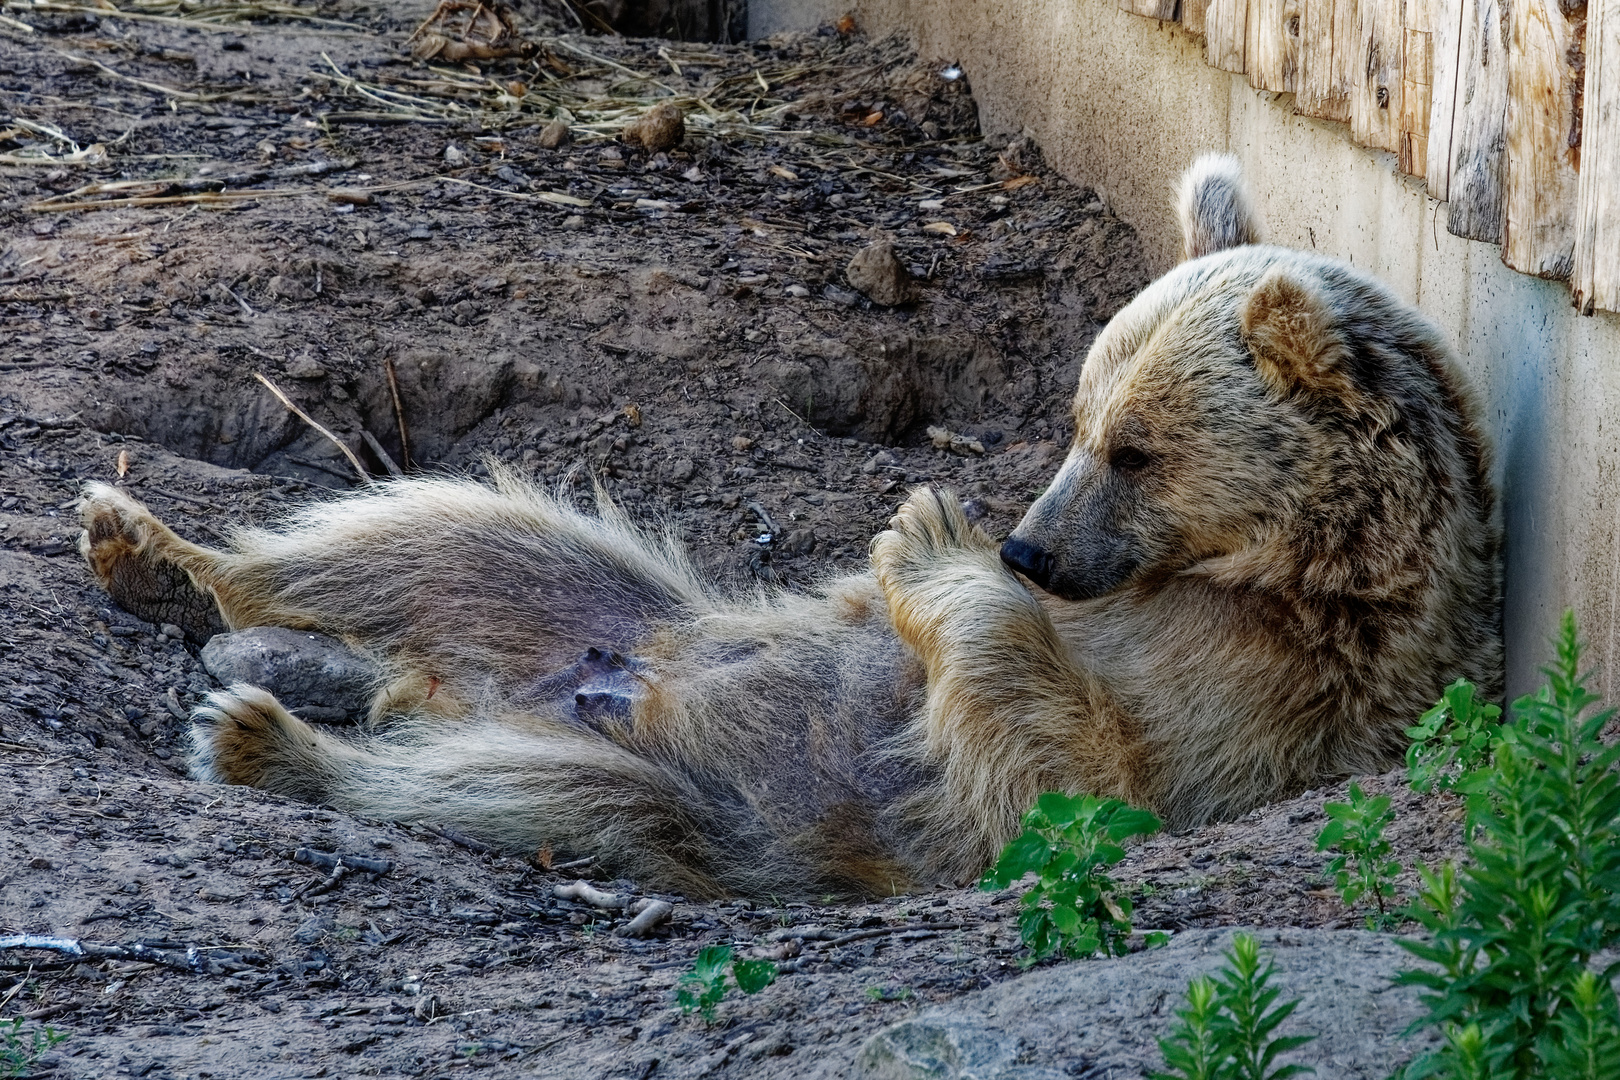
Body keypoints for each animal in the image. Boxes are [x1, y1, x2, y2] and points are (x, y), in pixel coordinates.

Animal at [78, 156, 1503, 900]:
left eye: (1136, 447)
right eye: (1078, 414)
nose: (1032, 551)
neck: (1289, 576)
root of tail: (458, 690)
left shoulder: (1260, 704)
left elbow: (1068, 782)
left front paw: (927, 532)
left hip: (718, 805)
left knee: (530, 790)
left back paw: (266, 737)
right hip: (608, 601)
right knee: (444, 534)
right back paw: (151, 549)